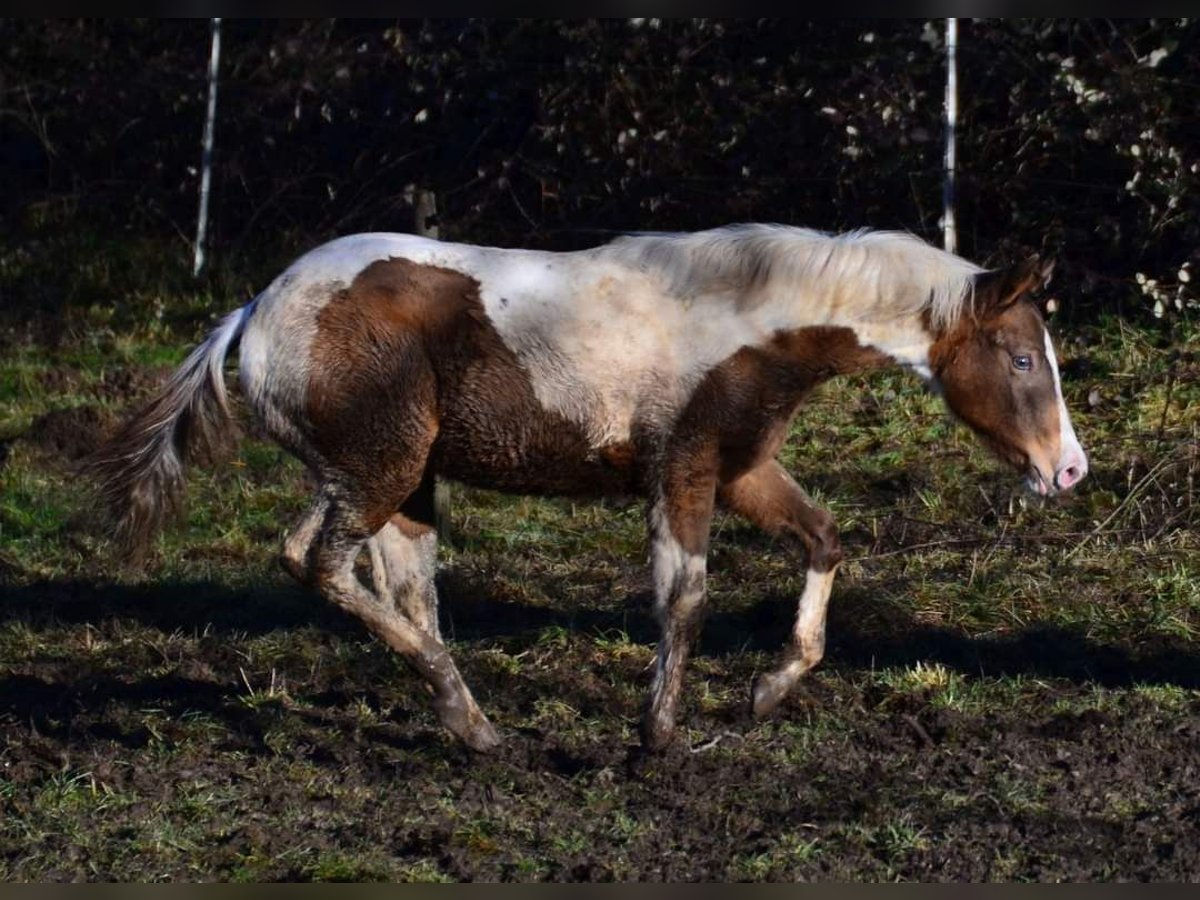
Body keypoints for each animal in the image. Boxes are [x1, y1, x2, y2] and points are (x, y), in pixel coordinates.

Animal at [91, 224, 1089, 753]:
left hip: (394, 482)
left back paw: (471, 723)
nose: (1069, 469)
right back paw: (466, 715)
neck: (750, 319)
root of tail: (253, 313)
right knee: (316, 562)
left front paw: (767, 691)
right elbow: (683, 600)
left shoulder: (742, 470)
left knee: (400, 589)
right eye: (1021, 357)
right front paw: (661, 735)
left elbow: (824, 539)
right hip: (381, 470)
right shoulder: (682, 470)